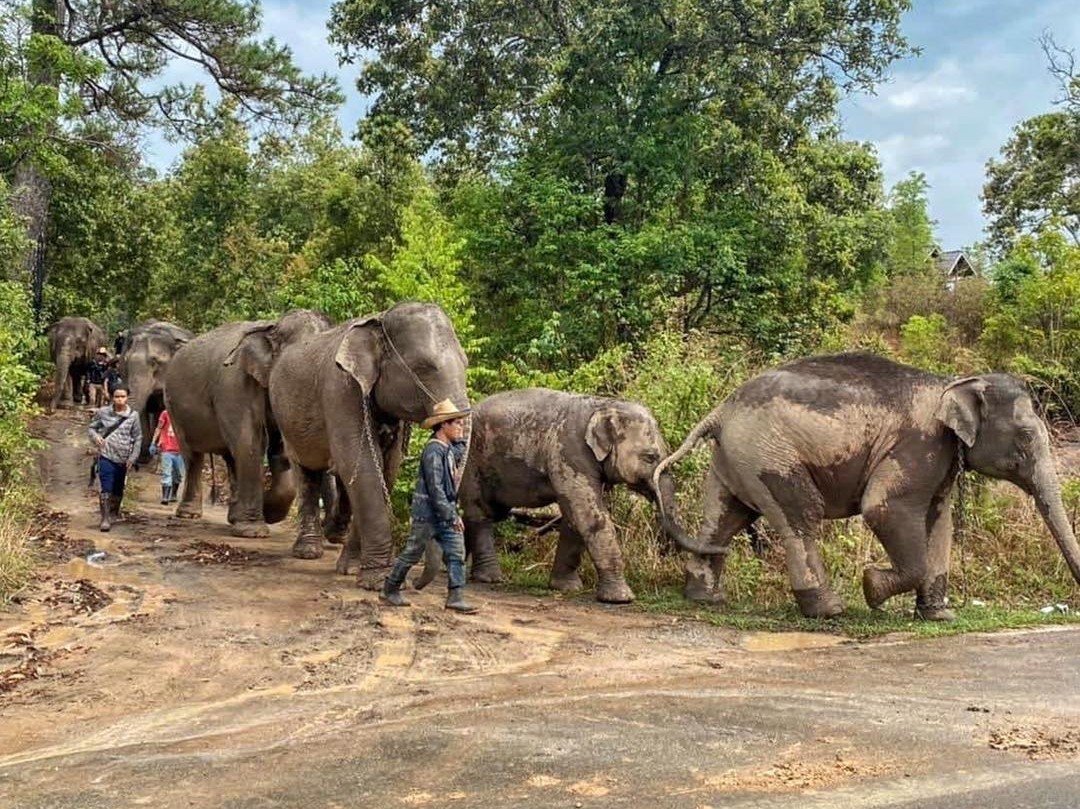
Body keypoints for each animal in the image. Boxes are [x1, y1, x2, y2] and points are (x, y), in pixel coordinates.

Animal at [163, 308, 328, 535]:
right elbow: (250, 442)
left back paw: (233, 516)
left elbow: (279, 450)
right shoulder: (234, 384)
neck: (271, 328)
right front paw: (254, 531)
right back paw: (189, 514)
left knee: (230, 457)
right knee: (193, 455)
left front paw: (269, 513)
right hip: (173, 406)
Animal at [266, 300, 468, 583]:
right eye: (424, 368)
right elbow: (359, 463)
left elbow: (388, 467)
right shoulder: (340, 389)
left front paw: (351, 569)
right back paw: (308, 551)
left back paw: (333, 532)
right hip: (286, 420)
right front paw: (378, 580)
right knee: (305, 472)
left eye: (466, 363)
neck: (378, 319)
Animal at [419, 388, 725, 604]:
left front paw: (566, 587)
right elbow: (589, 514)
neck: (604, 404)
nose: (725, 550)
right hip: (471, 461)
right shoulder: (571, 452)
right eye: (650, 457)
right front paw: (621, 598)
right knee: (480, 513)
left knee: (488, 513)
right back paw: (490, 579)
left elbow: (574, 518)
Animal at [652, 352, 1080, 617]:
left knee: (724, 520)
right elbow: (883, 507)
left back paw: (705, 597)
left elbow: (939, 522)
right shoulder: (918, 444)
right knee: (800, 516)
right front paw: (872, 588)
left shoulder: (939, 458)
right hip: (768, 454)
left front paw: (939, 616)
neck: (954, 383)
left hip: (736, 459)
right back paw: (829, 610)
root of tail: (720, 411)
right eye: (1026, 437)